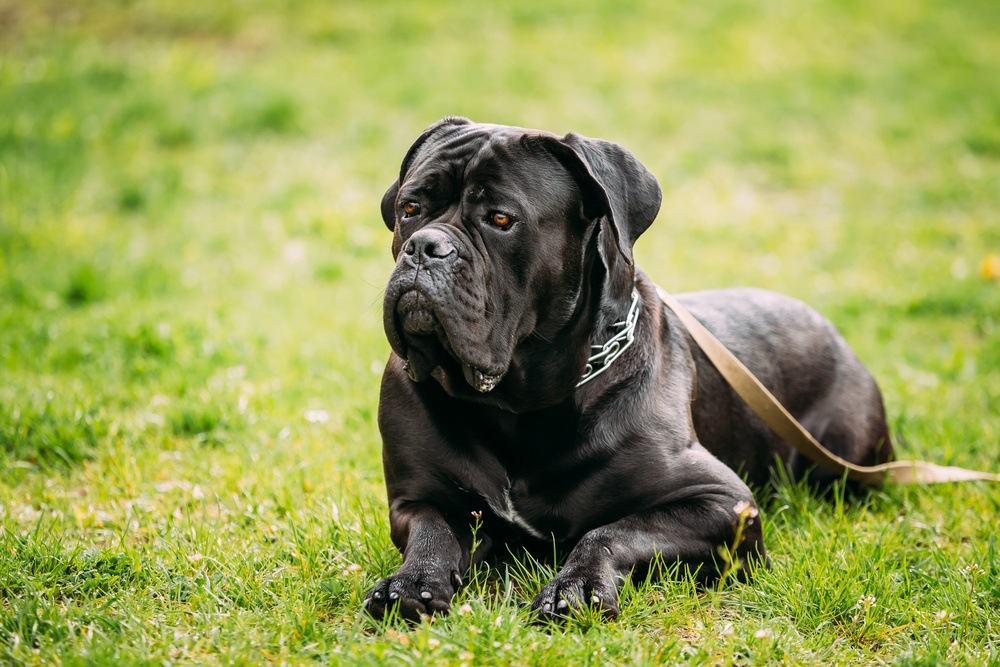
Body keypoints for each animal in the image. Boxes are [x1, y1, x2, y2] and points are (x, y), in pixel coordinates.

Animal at [364, 117, 896, 624]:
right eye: (410, 208)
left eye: (500, 218)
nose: (425, 246)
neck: (520, 405)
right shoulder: (418, 498)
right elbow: (432, 531)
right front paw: (412, 582)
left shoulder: (722, 502)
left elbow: (612, 530)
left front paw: (576, 586)